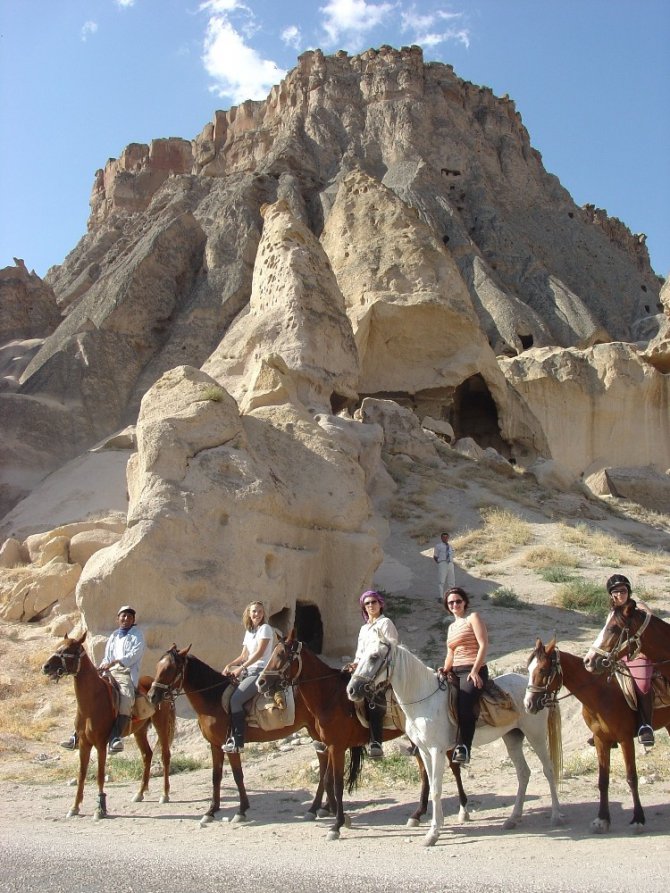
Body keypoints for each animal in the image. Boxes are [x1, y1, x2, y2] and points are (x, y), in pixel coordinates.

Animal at [40, 632, 175, 820]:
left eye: (68, 650)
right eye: (58, 646)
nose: (46, 667)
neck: (92, 702)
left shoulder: (101, 744)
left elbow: (100, 776)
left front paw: (100, 808)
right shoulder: (84, 743)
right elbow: (81, 774)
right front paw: (75, 807)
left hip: (161, 725)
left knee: (165, 755)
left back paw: (165, 794)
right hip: (140, 731)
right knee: (147, 755)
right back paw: (140, 793)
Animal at [146, 644, 336, 824]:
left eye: (170, 668)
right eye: (157, 666)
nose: (151, 696)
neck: (213, 698)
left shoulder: (231, 745)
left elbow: (237, 776)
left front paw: (241, 810)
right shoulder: (215, 745)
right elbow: (216, 776)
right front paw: (211, 811)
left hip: (317, 732)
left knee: (325, 766)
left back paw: (316, 808)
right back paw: (323, 807)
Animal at [258, 632, 472, 840]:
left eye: (281, 654)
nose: (261, 682)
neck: (329, 696)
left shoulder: (336, 747)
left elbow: (336, 783)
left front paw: (337, 824)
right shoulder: (330, 746)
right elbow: (327, 780)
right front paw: (341, 817)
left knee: (453, 768)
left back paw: (462, 809)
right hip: (417, 741)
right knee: (425, 773)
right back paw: (418, 814)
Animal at [350, 632, 564, 848]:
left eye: (374, 657)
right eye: (361, 655)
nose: (351, 690)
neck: (424, 699)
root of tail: (533, 690)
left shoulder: (436, 750)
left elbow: (436, 789)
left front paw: (433, 833)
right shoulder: (425, 751)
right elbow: (431, 784)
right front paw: (436, 826)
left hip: (536, 735)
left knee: (548, 769)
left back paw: (556, 815)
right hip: (512, 738)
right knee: (523, 773)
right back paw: (513, 818)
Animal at [524, 636, 670, 832]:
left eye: (543, 670)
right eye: (528, 669)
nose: (528, 704)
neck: (602, 693)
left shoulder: (625, 739)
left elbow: (632, 778)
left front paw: (638, 819)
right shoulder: (601, 740)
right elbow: (602, 780)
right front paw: (602, 819)